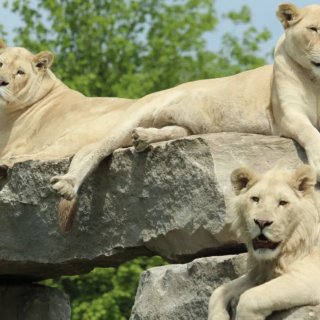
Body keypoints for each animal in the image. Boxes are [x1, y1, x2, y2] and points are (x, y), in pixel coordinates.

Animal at [209, 165, 320, 320]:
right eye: (255, 199)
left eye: (283, 202)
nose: (261, 222)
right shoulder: (258, 272)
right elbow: (218, 292)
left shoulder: (309, 276)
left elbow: (249, 298)